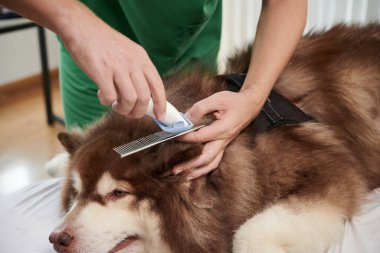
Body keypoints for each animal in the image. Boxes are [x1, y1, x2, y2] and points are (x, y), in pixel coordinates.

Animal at [48, 24, 380, 253]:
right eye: (75, 194)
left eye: (118, 193)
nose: (57, 238)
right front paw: (54, 163)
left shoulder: (331, 172)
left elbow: (247, 234)